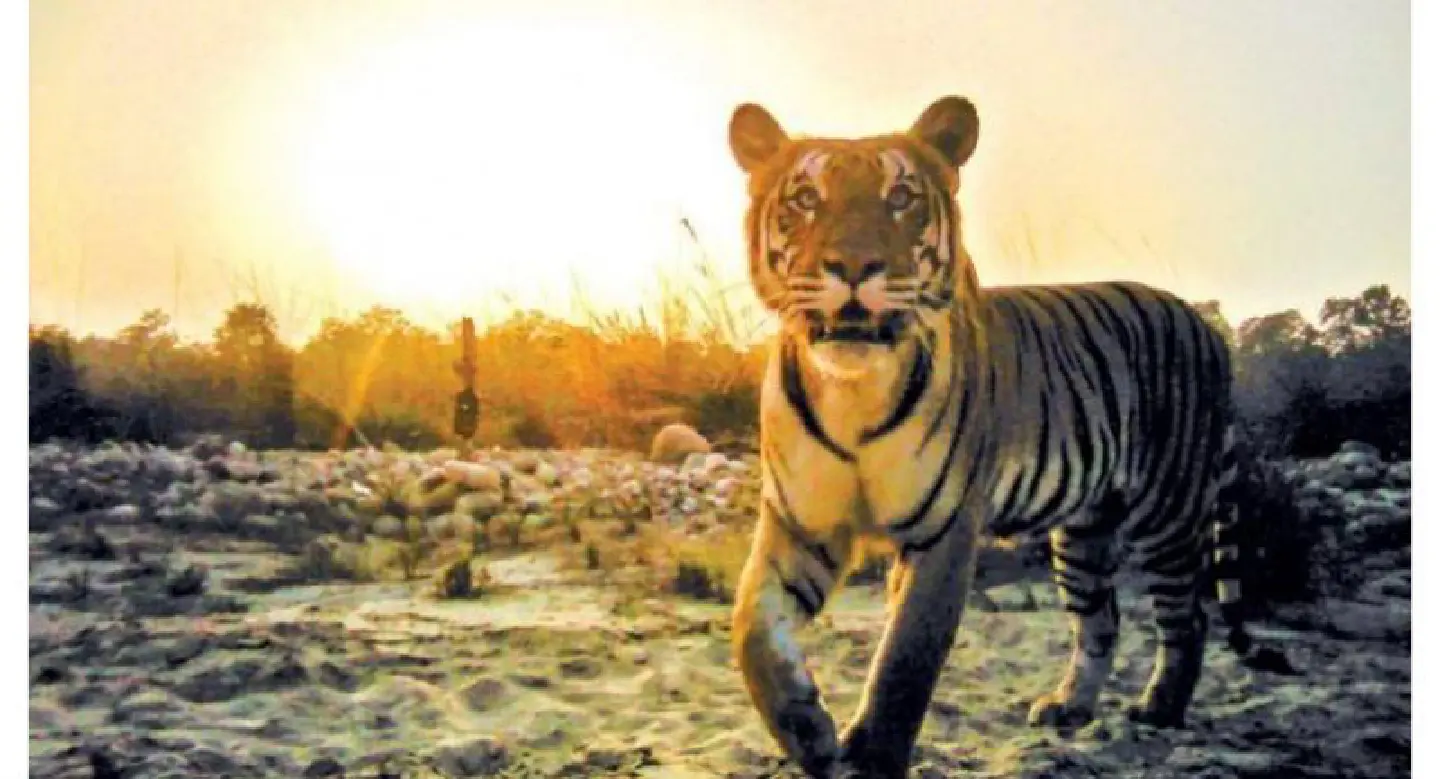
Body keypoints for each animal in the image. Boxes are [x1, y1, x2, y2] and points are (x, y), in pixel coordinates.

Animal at [726, 95, 1291, 778]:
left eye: (900, 197)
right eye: (807, 198)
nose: (855, 265)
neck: (852, 393)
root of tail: (1203, 322)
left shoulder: (944, 530)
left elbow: (904, 661)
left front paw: (875, 756)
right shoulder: (799, 522)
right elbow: (752, 632)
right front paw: (808, 732)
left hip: (1168, 513)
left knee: (1188, 618)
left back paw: (1160, 708)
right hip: (1084, 531)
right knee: (1101, 620)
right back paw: (1069, 709)